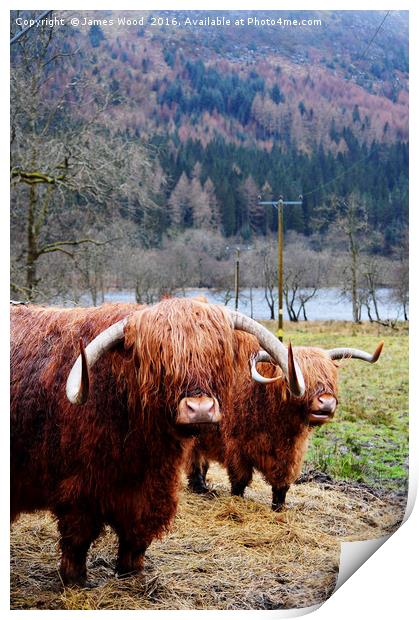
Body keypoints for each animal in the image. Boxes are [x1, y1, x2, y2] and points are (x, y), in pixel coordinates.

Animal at [9, 298, 306, 584]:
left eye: (217, 355)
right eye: (160, 360)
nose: (200, 409)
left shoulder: (153, 484)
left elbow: (137, 532)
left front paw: (131, 571)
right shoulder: (78, 487)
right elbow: (78, 537)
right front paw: (76, 579)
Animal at [185, 332, 382, 512]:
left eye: (331, 376)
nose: (326, 402)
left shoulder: (291, 454)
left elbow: (281, 485)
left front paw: (278, 508)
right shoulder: (236, 448)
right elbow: (239, 481)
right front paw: (237, 500)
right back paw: (199, 487)